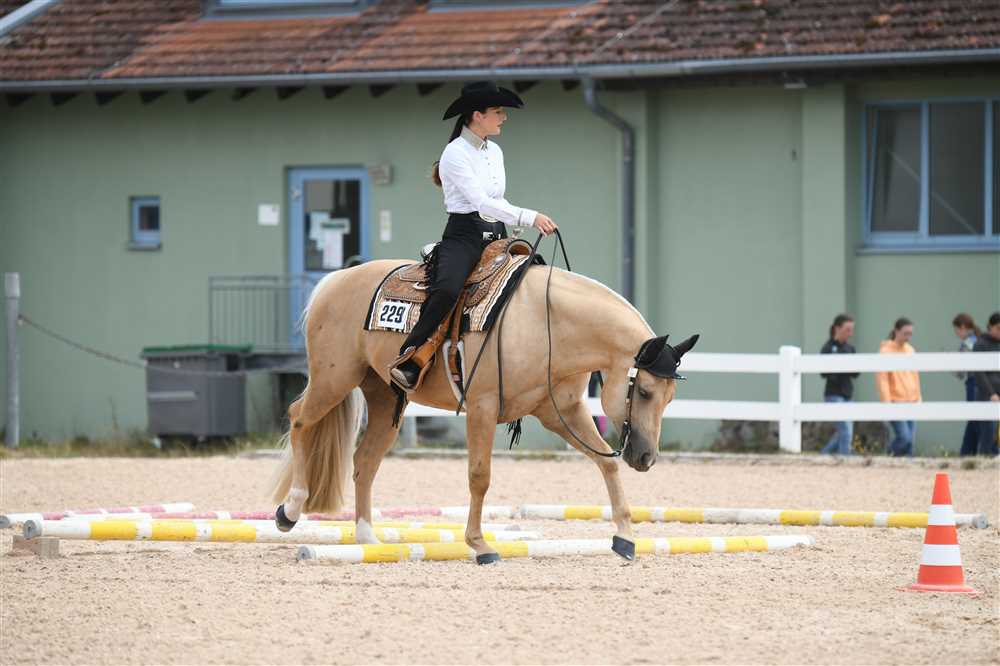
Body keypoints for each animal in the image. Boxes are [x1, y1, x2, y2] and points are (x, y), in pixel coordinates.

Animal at [269, 256, 698, 563]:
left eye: (669, 397)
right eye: (645, 391)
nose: (646, 457)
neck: (549, 323)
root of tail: (334, 281)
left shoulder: (564, 412)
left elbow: (606, 464)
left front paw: (624, 538)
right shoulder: (482, 407)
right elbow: (480, 476)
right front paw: (480, 544)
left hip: (385, 397)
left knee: (364, 461)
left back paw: (367, 537)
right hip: (334, 379)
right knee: (299, 419)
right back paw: (290, 509)